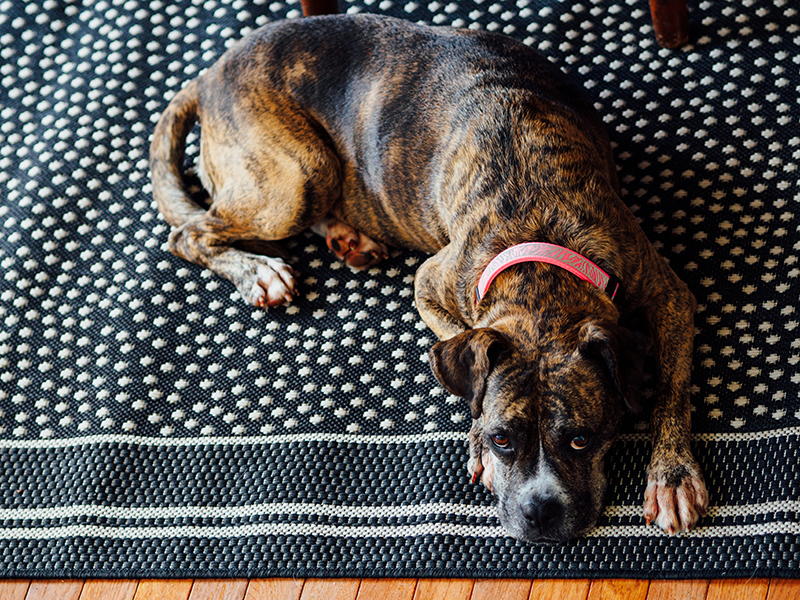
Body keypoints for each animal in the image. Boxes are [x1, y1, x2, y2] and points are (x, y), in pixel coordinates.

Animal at [148, 14, 708, 540]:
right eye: (503, 438)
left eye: (581, 439)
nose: (539, 512)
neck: (539, 248)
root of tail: (211, 74)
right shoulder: (432, 282)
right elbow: (466, 351)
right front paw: (476, 437)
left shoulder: (668, 295)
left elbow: (672, 387)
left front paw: (672, 477)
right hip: (295, 177)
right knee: (189, 235)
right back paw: (258, 272)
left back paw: (347, 236)